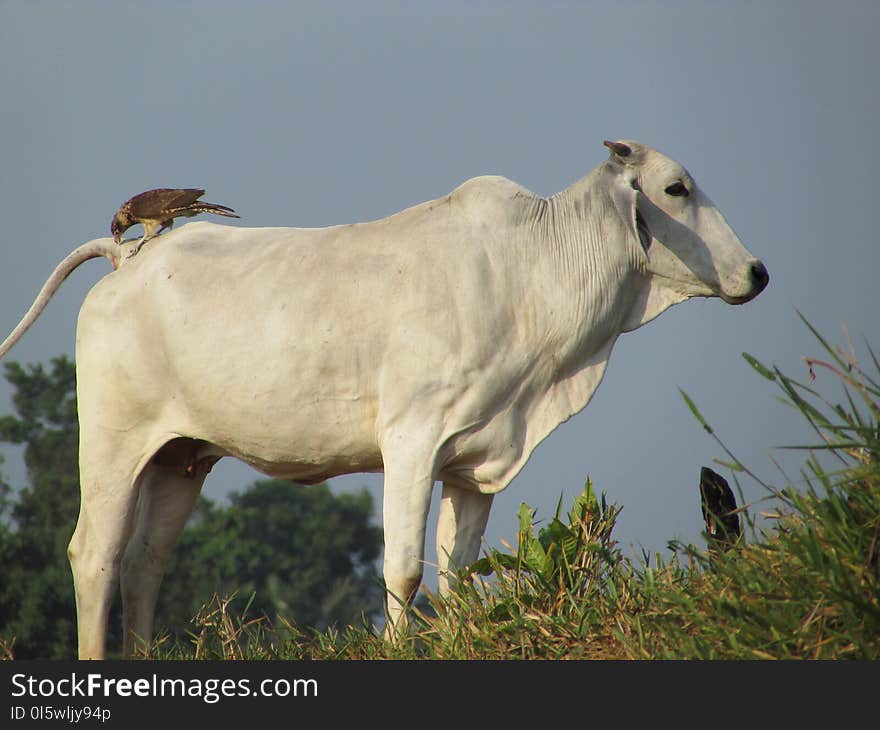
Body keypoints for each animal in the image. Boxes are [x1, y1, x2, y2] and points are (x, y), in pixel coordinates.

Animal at [0, 139, 768, 656]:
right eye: (675, 189)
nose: (758, 272)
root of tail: (130, 258)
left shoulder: (476, 462)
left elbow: (459, 573)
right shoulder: (411, 441)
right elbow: (403, 570)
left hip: (180, 456)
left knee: (144, 564)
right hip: (112, 442)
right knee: (95, 556)